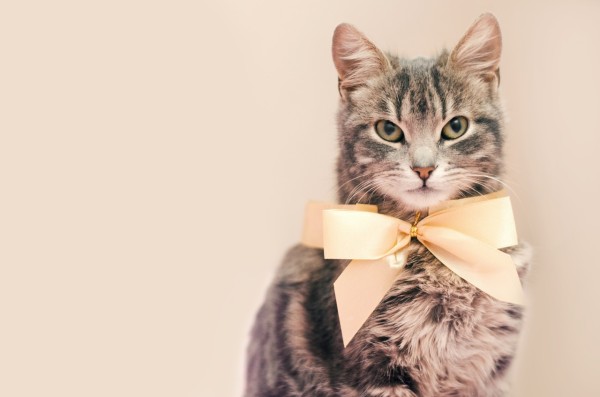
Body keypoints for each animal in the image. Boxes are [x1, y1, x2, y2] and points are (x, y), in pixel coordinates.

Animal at [244, 13, 528, 396]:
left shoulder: (490, 370)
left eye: (456, 126)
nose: (423, 168)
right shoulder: (377, 370)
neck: (429, 247)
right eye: (388, 130)